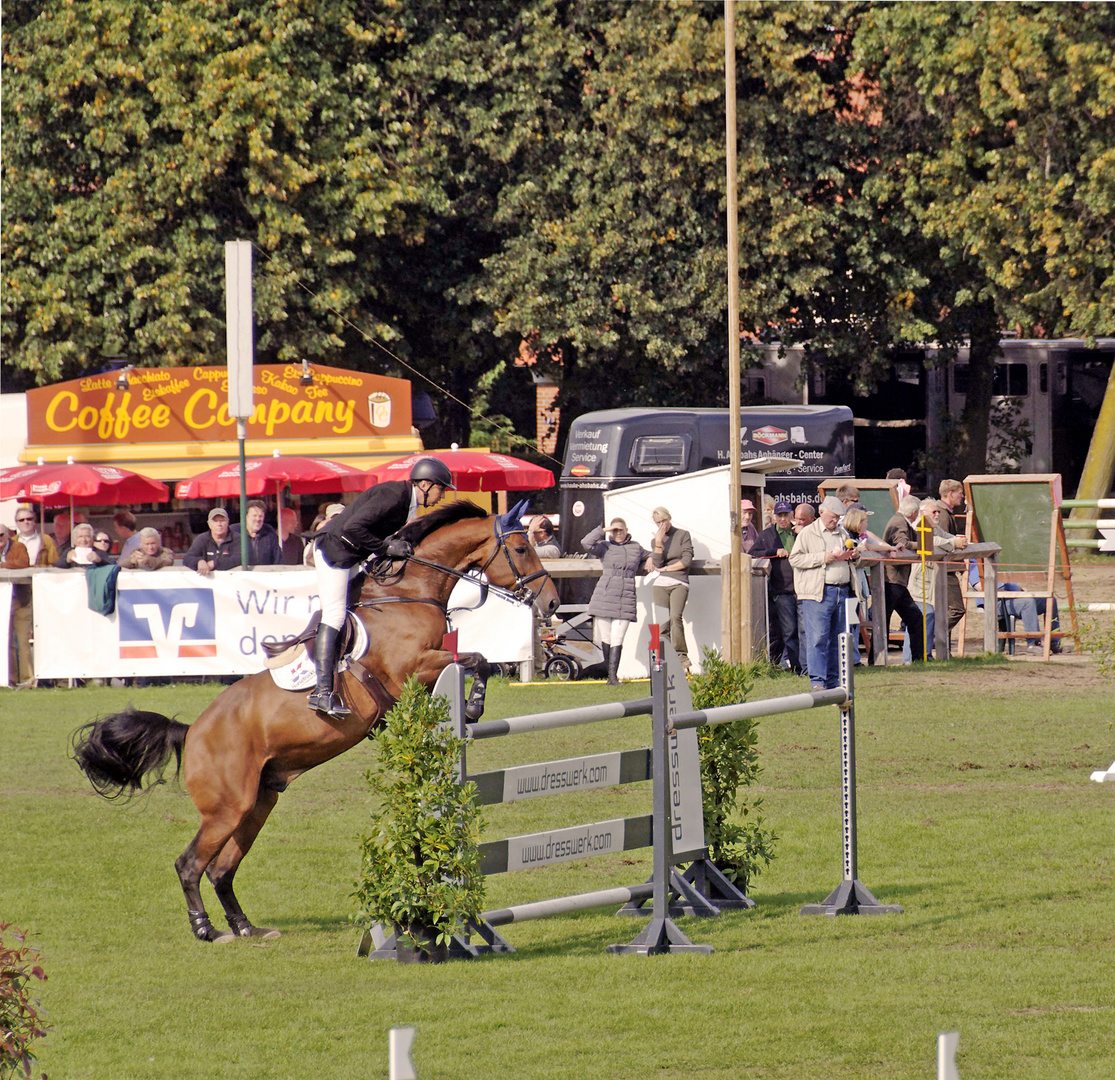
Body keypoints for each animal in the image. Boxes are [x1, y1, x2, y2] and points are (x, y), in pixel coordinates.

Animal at [71, 501, 557, 940]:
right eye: (521, 547)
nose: (551, 602)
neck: (409, 590)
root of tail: (192, 732)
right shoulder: (414, 667)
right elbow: (477, 659)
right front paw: (472, 707)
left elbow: (480, 659)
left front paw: (471, 707)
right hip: (226, 809)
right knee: (191, 865)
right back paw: (206, 929)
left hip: (259, 802)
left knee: (222, 870)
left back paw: (247, 927)